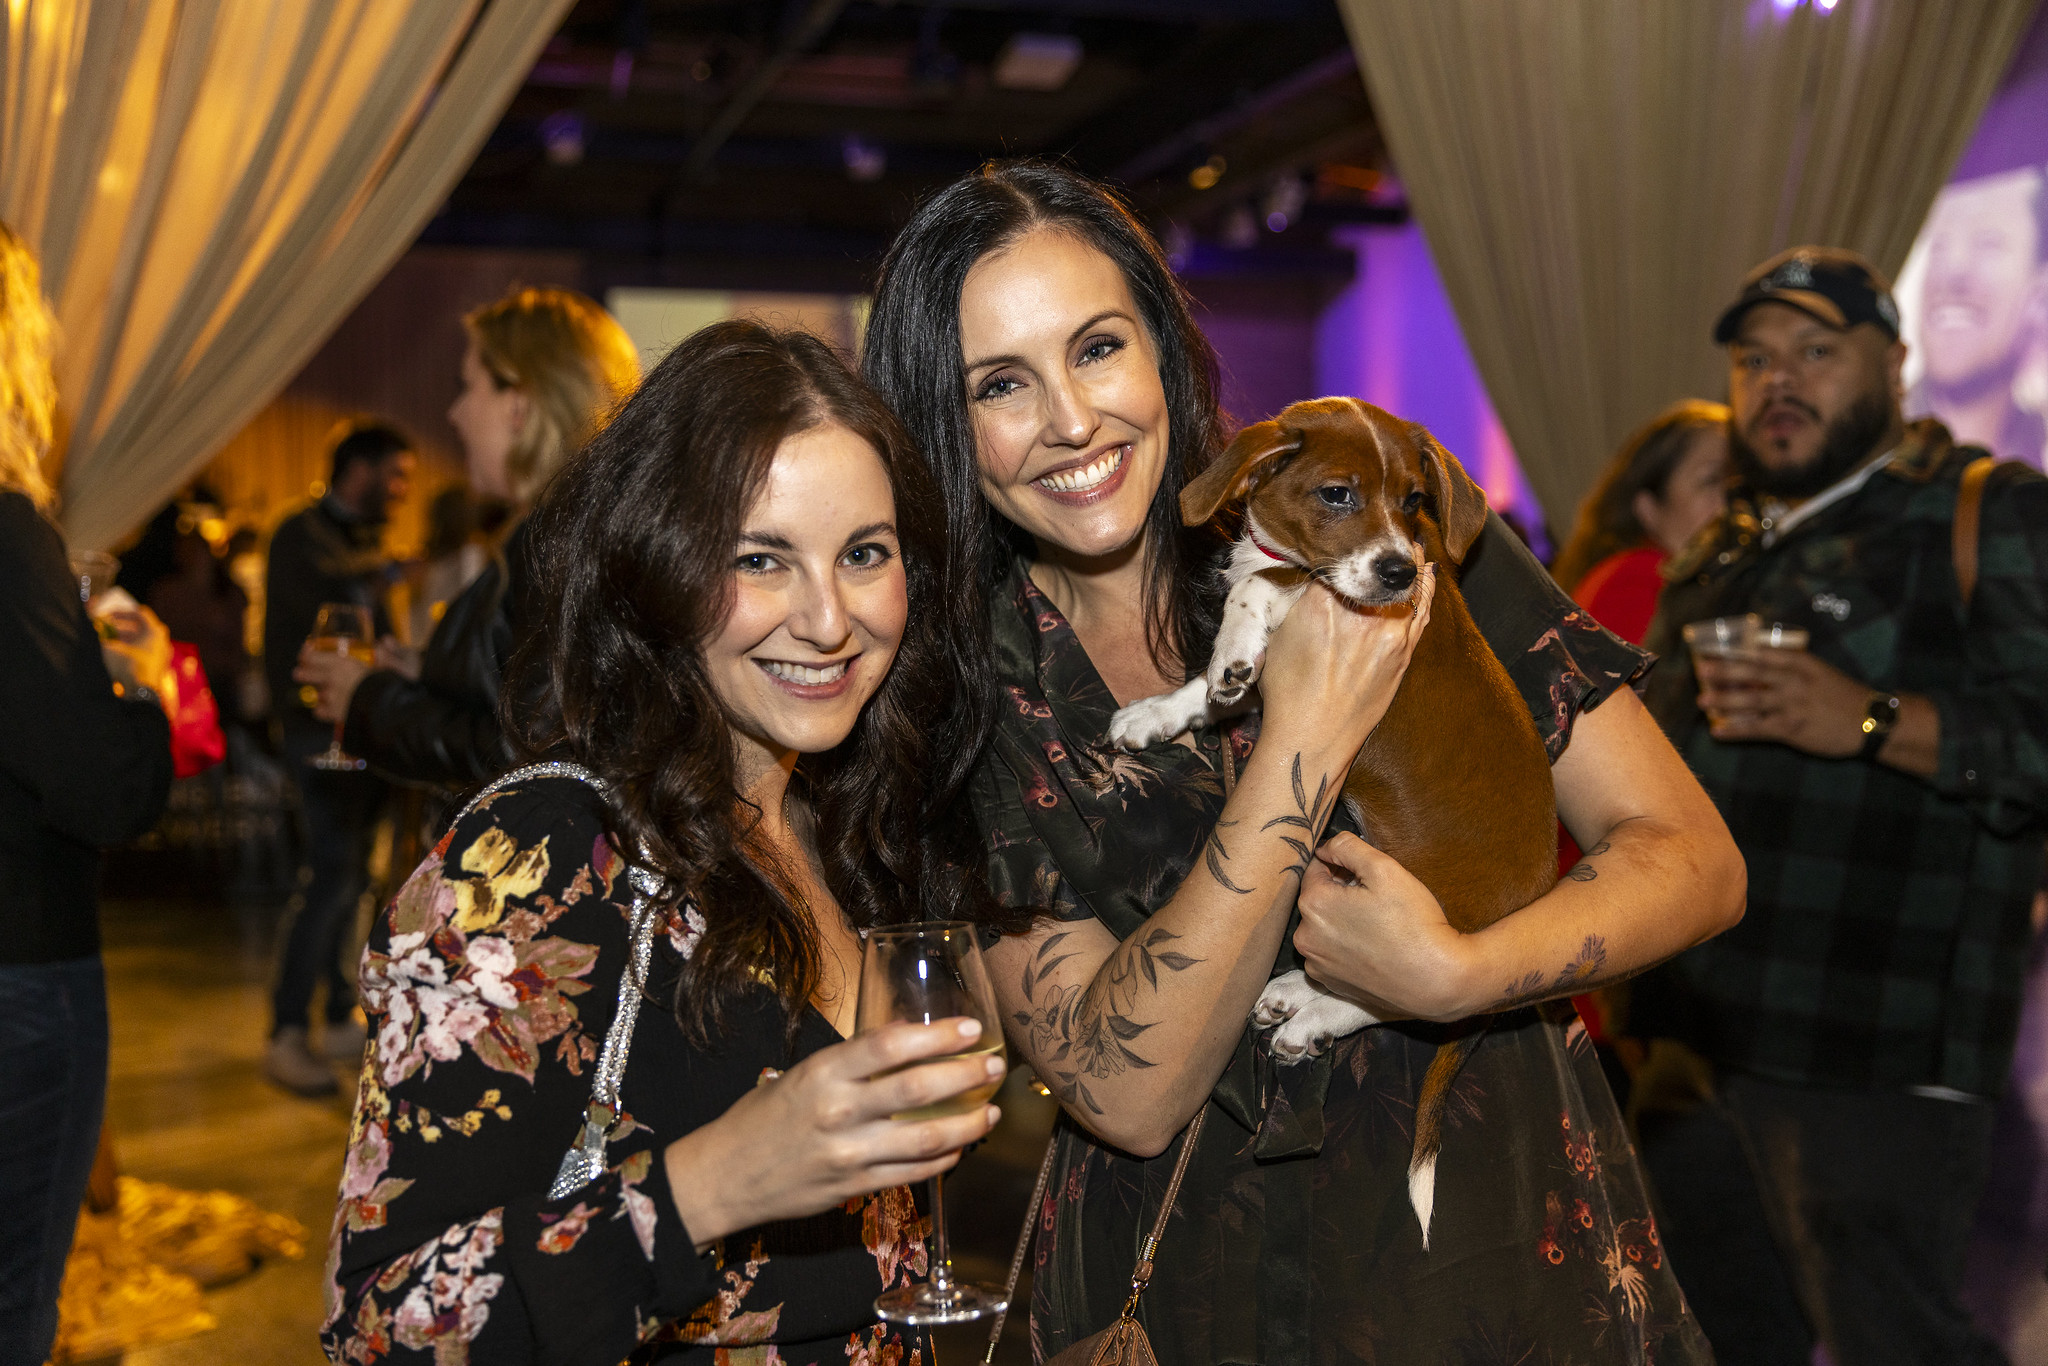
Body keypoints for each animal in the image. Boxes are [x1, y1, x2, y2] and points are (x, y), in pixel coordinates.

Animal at [1114, 395, 1556, 1253]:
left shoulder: (1340, 599)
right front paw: (1161, 711)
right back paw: (1293, 989)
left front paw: (1235, 638)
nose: (1398, 571)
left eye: (1415, 501)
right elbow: (1206, 690)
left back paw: (1310, 1017)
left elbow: (1267, 585)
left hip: (1414, 918)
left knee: (1398, 996)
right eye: (1338, 495)